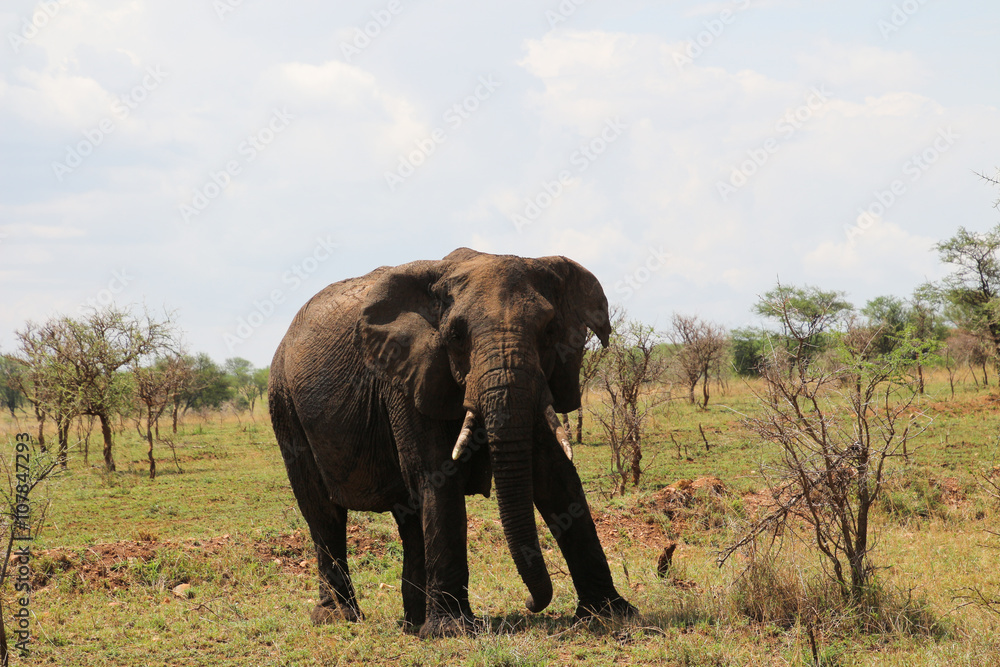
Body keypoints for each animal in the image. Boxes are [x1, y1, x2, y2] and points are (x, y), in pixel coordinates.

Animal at [268, 247, 636, 638]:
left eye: (550, 330)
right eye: (457, 335)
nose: (530, 603)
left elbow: (555, 476)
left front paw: (611, 615)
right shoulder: (406, 376)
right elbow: (437, 475)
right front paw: (452, 632)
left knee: (408, 516)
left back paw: (412, 623)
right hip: (284, 404)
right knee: (323, 512)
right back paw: (339, 618)